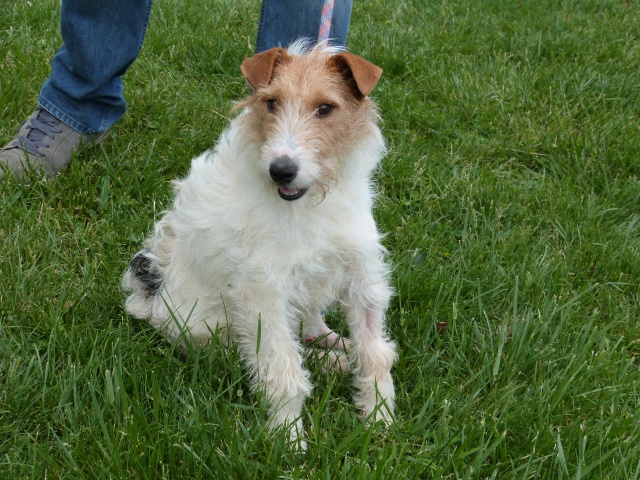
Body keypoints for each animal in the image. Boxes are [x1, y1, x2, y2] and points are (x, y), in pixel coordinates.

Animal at [121, 40, 396, 446]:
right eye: (271, 103)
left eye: (325, 108)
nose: (281, 170)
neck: (309, 201)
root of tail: (149, 297)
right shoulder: (263, 293)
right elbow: (283, 372)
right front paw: (289, 439)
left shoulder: (363, 275)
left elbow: (376, 354)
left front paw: (379, 418)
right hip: (211, 328)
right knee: (255, 353)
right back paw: (330, 362)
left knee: (310, 327)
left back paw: (337, 348)